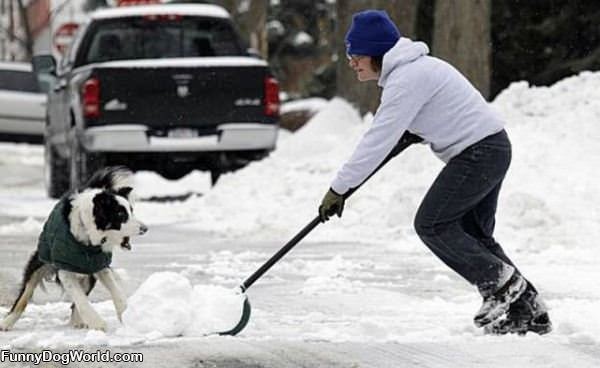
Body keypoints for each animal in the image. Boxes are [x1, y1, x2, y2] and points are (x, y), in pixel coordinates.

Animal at [0, 166, 148, 330]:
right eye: (121, 214)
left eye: (131, 211)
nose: (145, 228)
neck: (88, 239)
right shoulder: (64, 267)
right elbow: (80, 298)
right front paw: (98, 322)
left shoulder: (99, 265)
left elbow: (116, 291)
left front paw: (127, 315)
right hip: (42, 260)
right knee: (25, 293)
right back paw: (7, 322)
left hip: (88, 272)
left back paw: (77, 321)